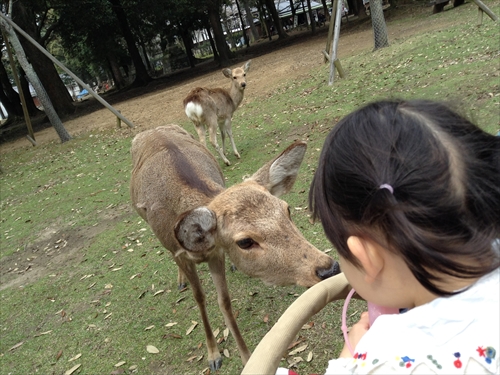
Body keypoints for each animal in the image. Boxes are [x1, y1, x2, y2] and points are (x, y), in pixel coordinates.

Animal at [129, 125, 340, 372]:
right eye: (245, 242)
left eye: (287, 209)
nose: (329, 268)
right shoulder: (181, 253)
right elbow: (200, 297)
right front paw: (213, 356)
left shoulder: (216, 253)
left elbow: (225, 302)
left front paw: (247, 358)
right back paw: (181, 281)